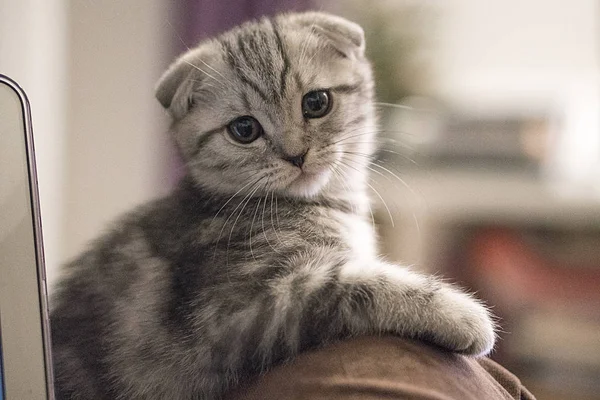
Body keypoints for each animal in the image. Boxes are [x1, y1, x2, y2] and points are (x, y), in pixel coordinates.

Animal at [49, 11, 494, 400]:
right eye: (244, 129)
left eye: (316, 103)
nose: (296, 155)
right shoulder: (238, 315)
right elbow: (358, 286)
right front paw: (461, 315)